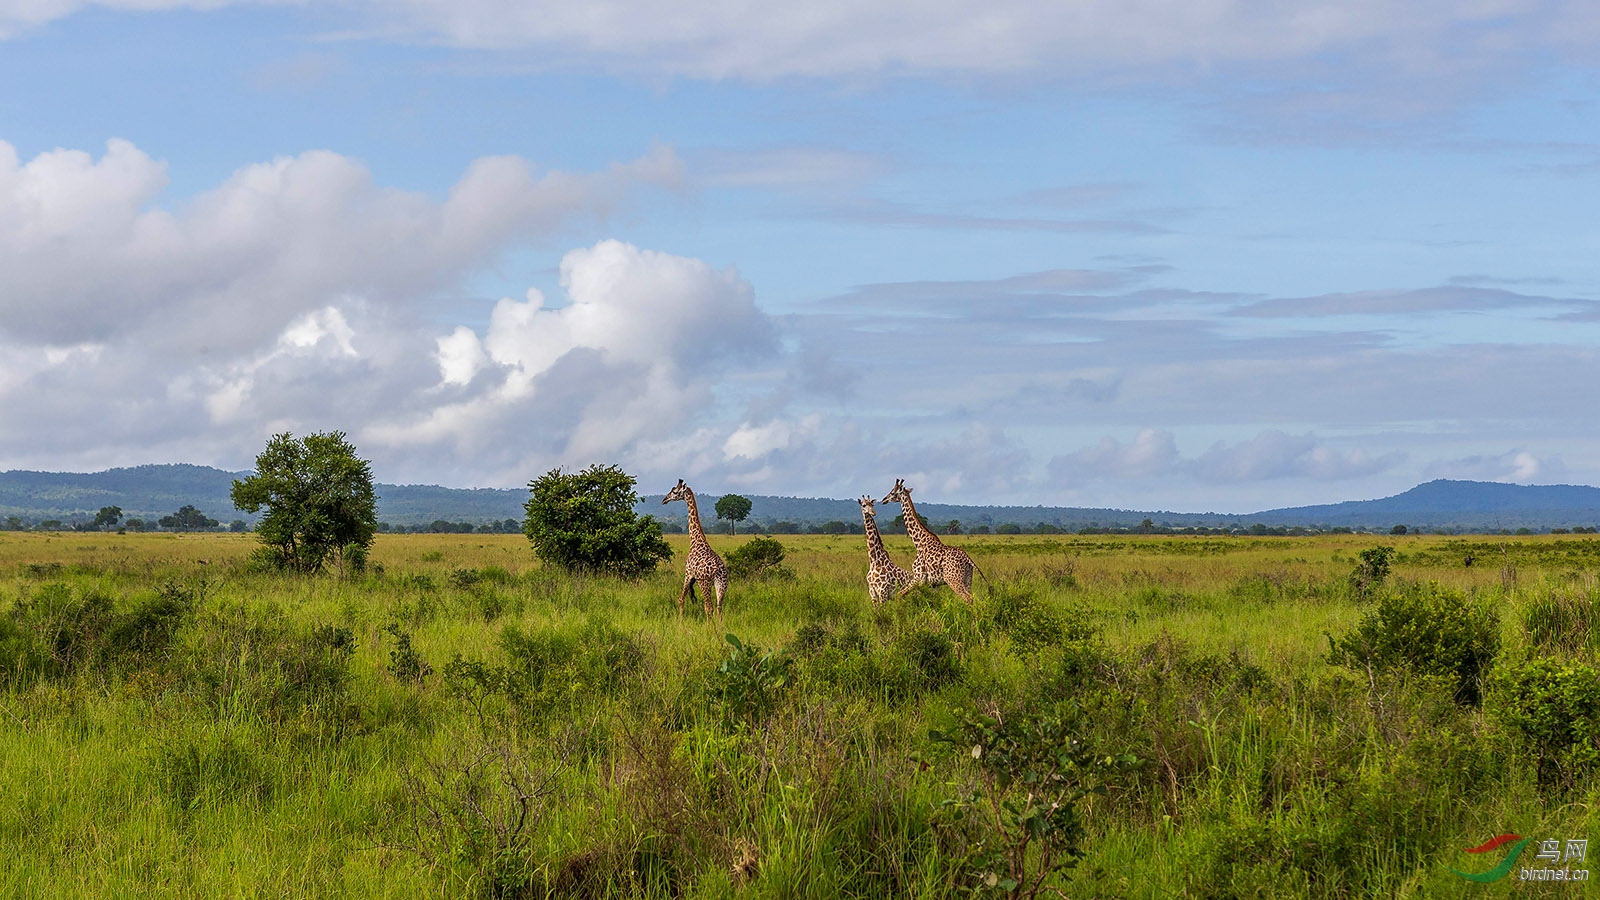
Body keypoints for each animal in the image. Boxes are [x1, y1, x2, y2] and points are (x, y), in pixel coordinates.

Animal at [659, 477, 729, 614]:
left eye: (675, 491)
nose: (664, 500)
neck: (696, 540)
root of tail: (719, 571)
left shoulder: (688, 574)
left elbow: (681, 599)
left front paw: (680, 619)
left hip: (704, 583)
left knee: (709, 607)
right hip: (722, 584)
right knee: (719, 607)